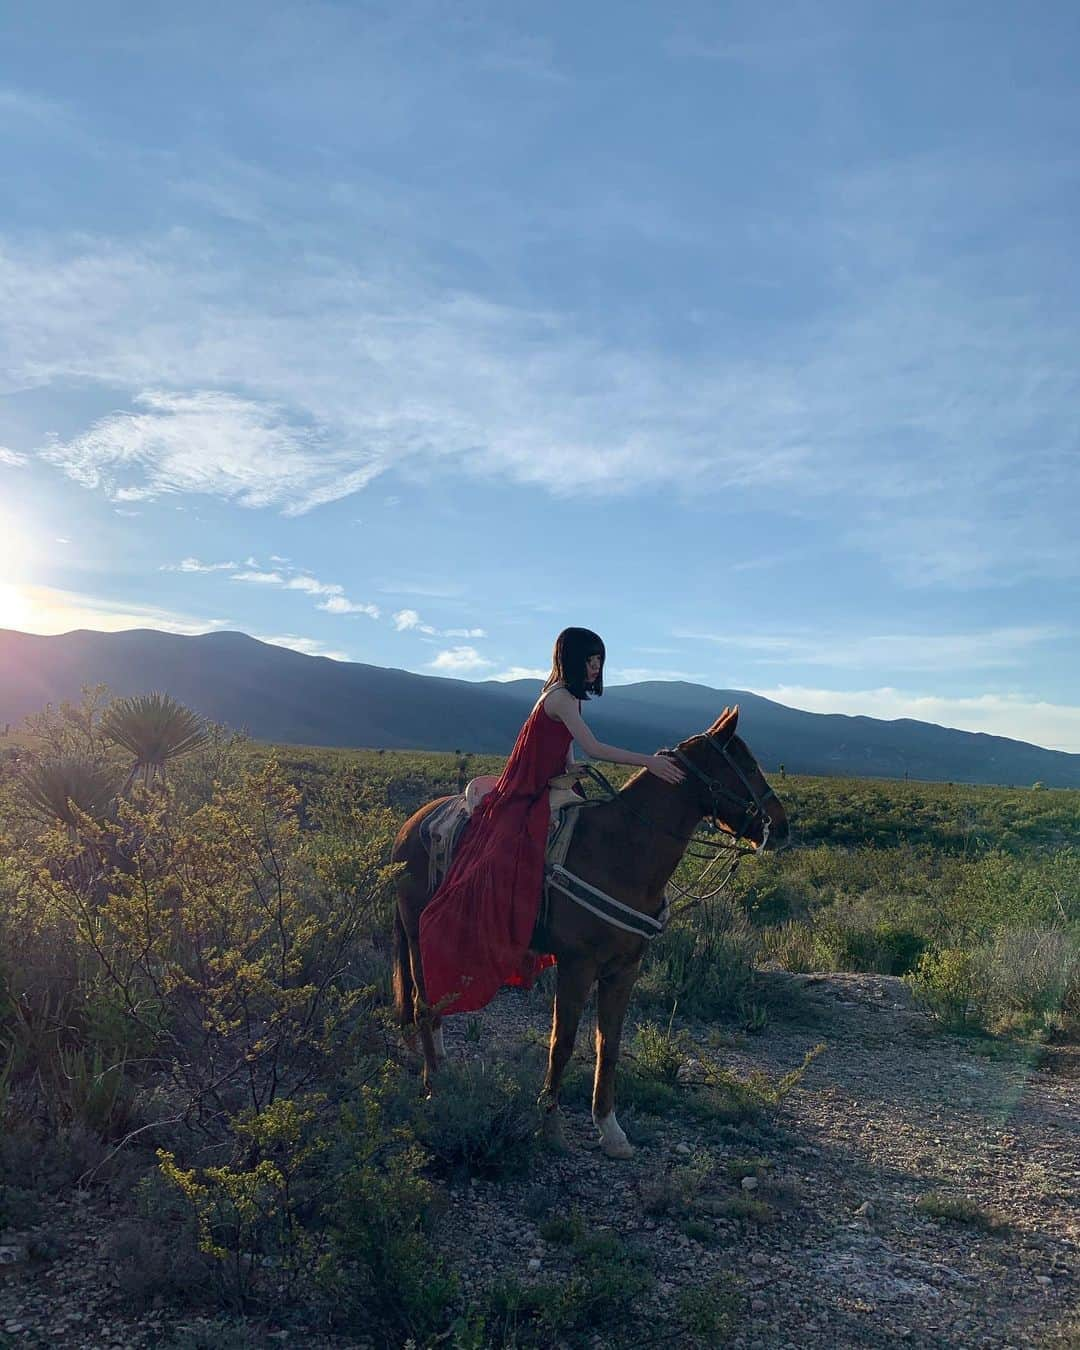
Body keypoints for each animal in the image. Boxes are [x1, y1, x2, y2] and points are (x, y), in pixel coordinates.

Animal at [391, 707, 788, 1161]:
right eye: (747, 765)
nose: (782, 825)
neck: (620, 851)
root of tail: (410, 825)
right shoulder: (577, 965)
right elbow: (561, 1042)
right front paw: (550, 1125)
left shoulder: (624, 968)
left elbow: (608, 1045)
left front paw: (610, 1129)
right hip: (420, 933)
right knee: (424, 1003)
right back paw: (434, 1085)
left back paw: (438, 1063)